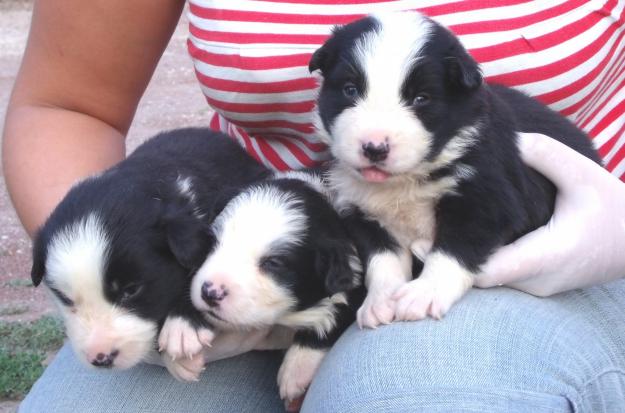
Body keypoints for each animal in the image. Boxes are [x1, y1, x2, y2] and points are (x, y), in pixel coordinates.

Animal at [310, 11, 604, 326]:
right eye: (350, 90)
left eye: (421, 98)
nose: (374, 147)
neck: (404, 181)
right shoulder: (360, 210)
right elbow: (382, 258)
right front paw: (380, 300)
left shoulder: (487, 198)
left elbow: (454, 248)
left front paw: (425, 292)